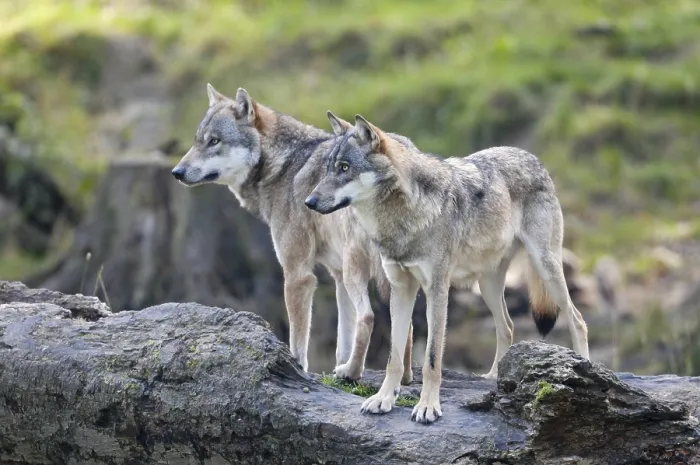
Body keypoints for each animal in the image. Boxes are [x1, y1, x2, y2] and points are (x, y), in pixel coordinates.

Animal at [171, 84, 415, 384]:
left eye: (214, 141)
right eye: (197, 141)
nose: (176, 172)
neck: (282, 167)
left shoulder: (298, 274)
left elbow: (298, 336)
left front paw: (298, 367)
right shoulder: (337, 276)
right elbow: (342, 340)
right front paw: (339, 368)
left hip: (356, 270)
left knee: (368, 317)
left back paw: (354, 373)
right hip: (366, 274)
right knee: (405, 324)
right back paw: (403, 377)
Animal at [305, 113, 590, 424]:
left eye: (345, 168)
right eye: (328, 168)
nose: (309, 202)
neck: (404, 217)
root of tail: (530, 157)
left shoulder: (437, 291)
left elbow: (431, 358)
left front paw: (428, 406)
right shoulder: (401, 289)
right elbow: (394, 356)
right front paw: (383, 399)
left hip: (546, 268)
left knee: (577, 319)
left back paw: (585, 368)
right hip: (488, 286)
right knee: (508, 326)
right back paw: (494, 377)